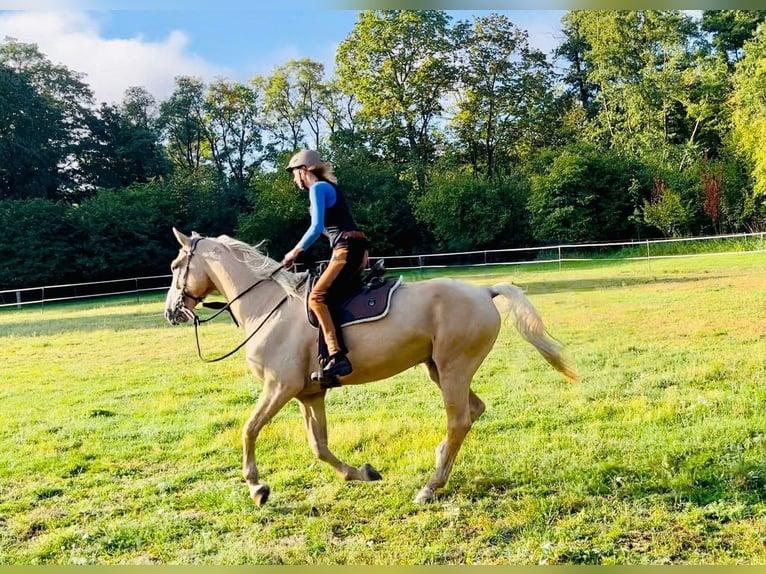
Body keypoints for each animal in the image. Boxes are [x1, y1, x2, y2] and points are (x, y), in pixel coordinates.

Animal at [165, 227, 580, 506]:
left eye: (175, 265)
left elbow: (249, 430)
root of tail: (483, 291)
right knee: (472, 412)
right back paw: (439, 466)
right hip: (439, 369)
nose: (171, 312)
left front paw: (257, 487)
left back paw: (430, 486)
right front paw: (361, 473)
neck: (270, 306)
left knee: (460, 419)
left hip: (453, 370)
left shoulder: (278, 388)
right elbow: (319, 446)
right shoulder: (309, 395)